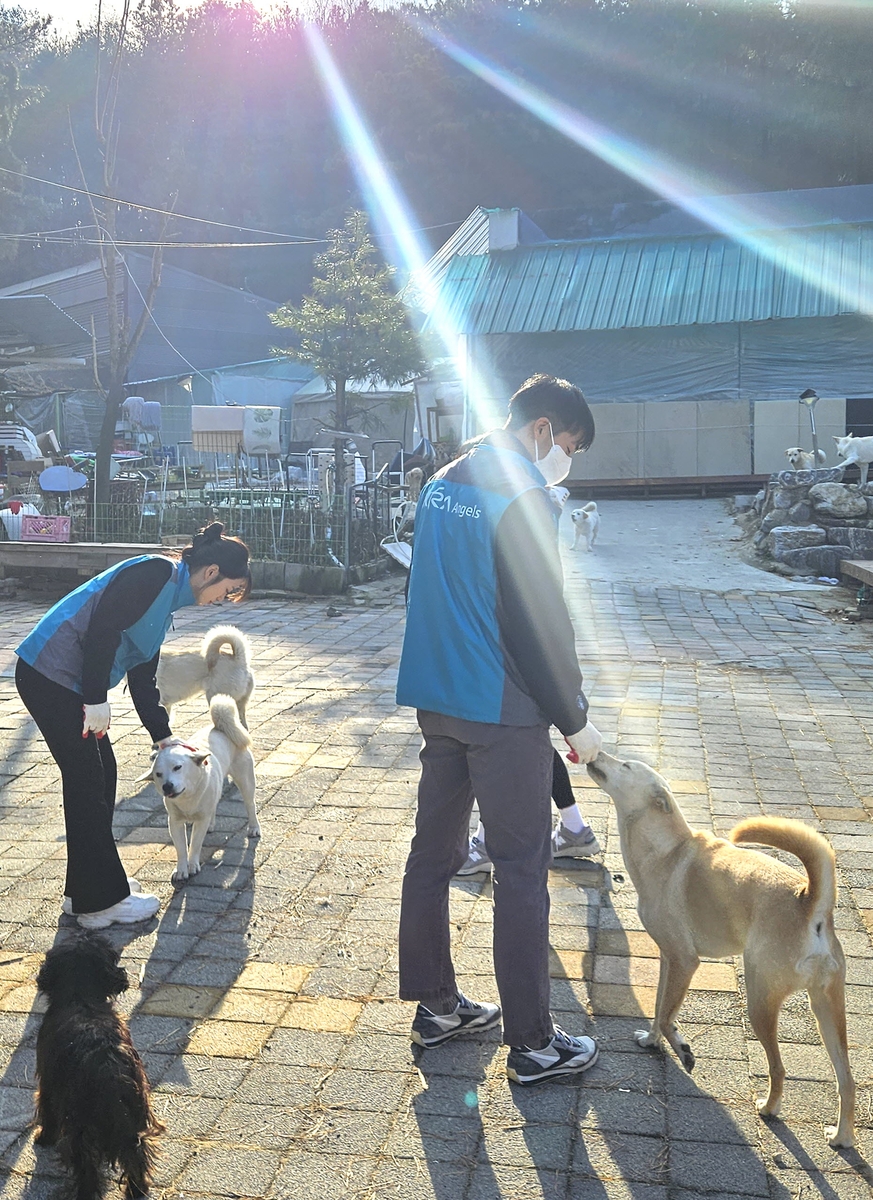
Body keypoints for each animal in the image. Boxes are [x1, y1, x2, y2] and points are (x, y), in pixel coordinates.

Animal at [33, 936, 163, 1200]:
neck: (80, 997)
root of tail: (110, 1074)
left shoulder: (47, 1082)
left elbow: (47, 1111)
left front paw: (44, 1138)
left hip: (80, 1128)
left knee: (87, 1167)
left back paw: (85, 1192)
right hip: (135, 1122)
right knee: (137, 1157)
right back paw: (137, 1191)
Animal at [139, 696, 259, 883]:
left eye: (177, 767)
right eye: (158, 774)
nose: (167, 786)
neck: (188, 797)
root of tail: (219, 728)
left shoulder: (200, 820)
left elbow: (195, 844)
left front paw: (193, 865)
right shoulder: (175, 822)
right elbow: (181, 848)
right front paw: (181, 869)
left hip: (245, 780)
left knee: (250, 804)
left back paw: (254, 827)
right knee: (214, 806)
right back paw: (212, 824)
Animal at [587, 753, 853, 1147]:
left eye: (626, 765)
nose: (596, 755)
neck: (667, 851)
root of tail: (809, 900)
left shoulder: (685, 961)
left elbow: (666, 1017)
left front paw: (682, 1049)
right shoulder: (668, 960)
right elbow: (659, 1009)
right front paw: (651, 1041)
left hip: (760, 1003)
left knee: (778, 1068)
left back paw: (769, 1108)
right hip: (827, 1010)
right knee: (847, 1081)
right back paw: (842, 1136)